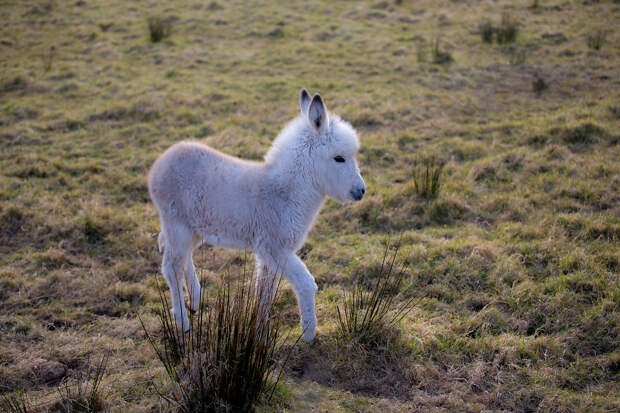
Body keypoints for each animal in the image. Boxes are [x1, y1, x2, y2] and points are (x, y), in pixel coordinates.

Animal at [148, 90, 366, 342]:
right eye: (339, 158)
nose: (361, 191)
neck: (286, 193)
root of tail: (161, 161)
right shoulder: (274, 247)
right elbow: (306, 283)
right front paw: (308, 334)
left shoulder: (269, 253)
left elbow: (264, 291)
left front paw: (258, 332)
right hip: (176, 224)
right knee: (171, 268)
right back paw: (183, 322)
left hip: (193, 229)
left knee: (184, 260)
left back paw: (194, 302)